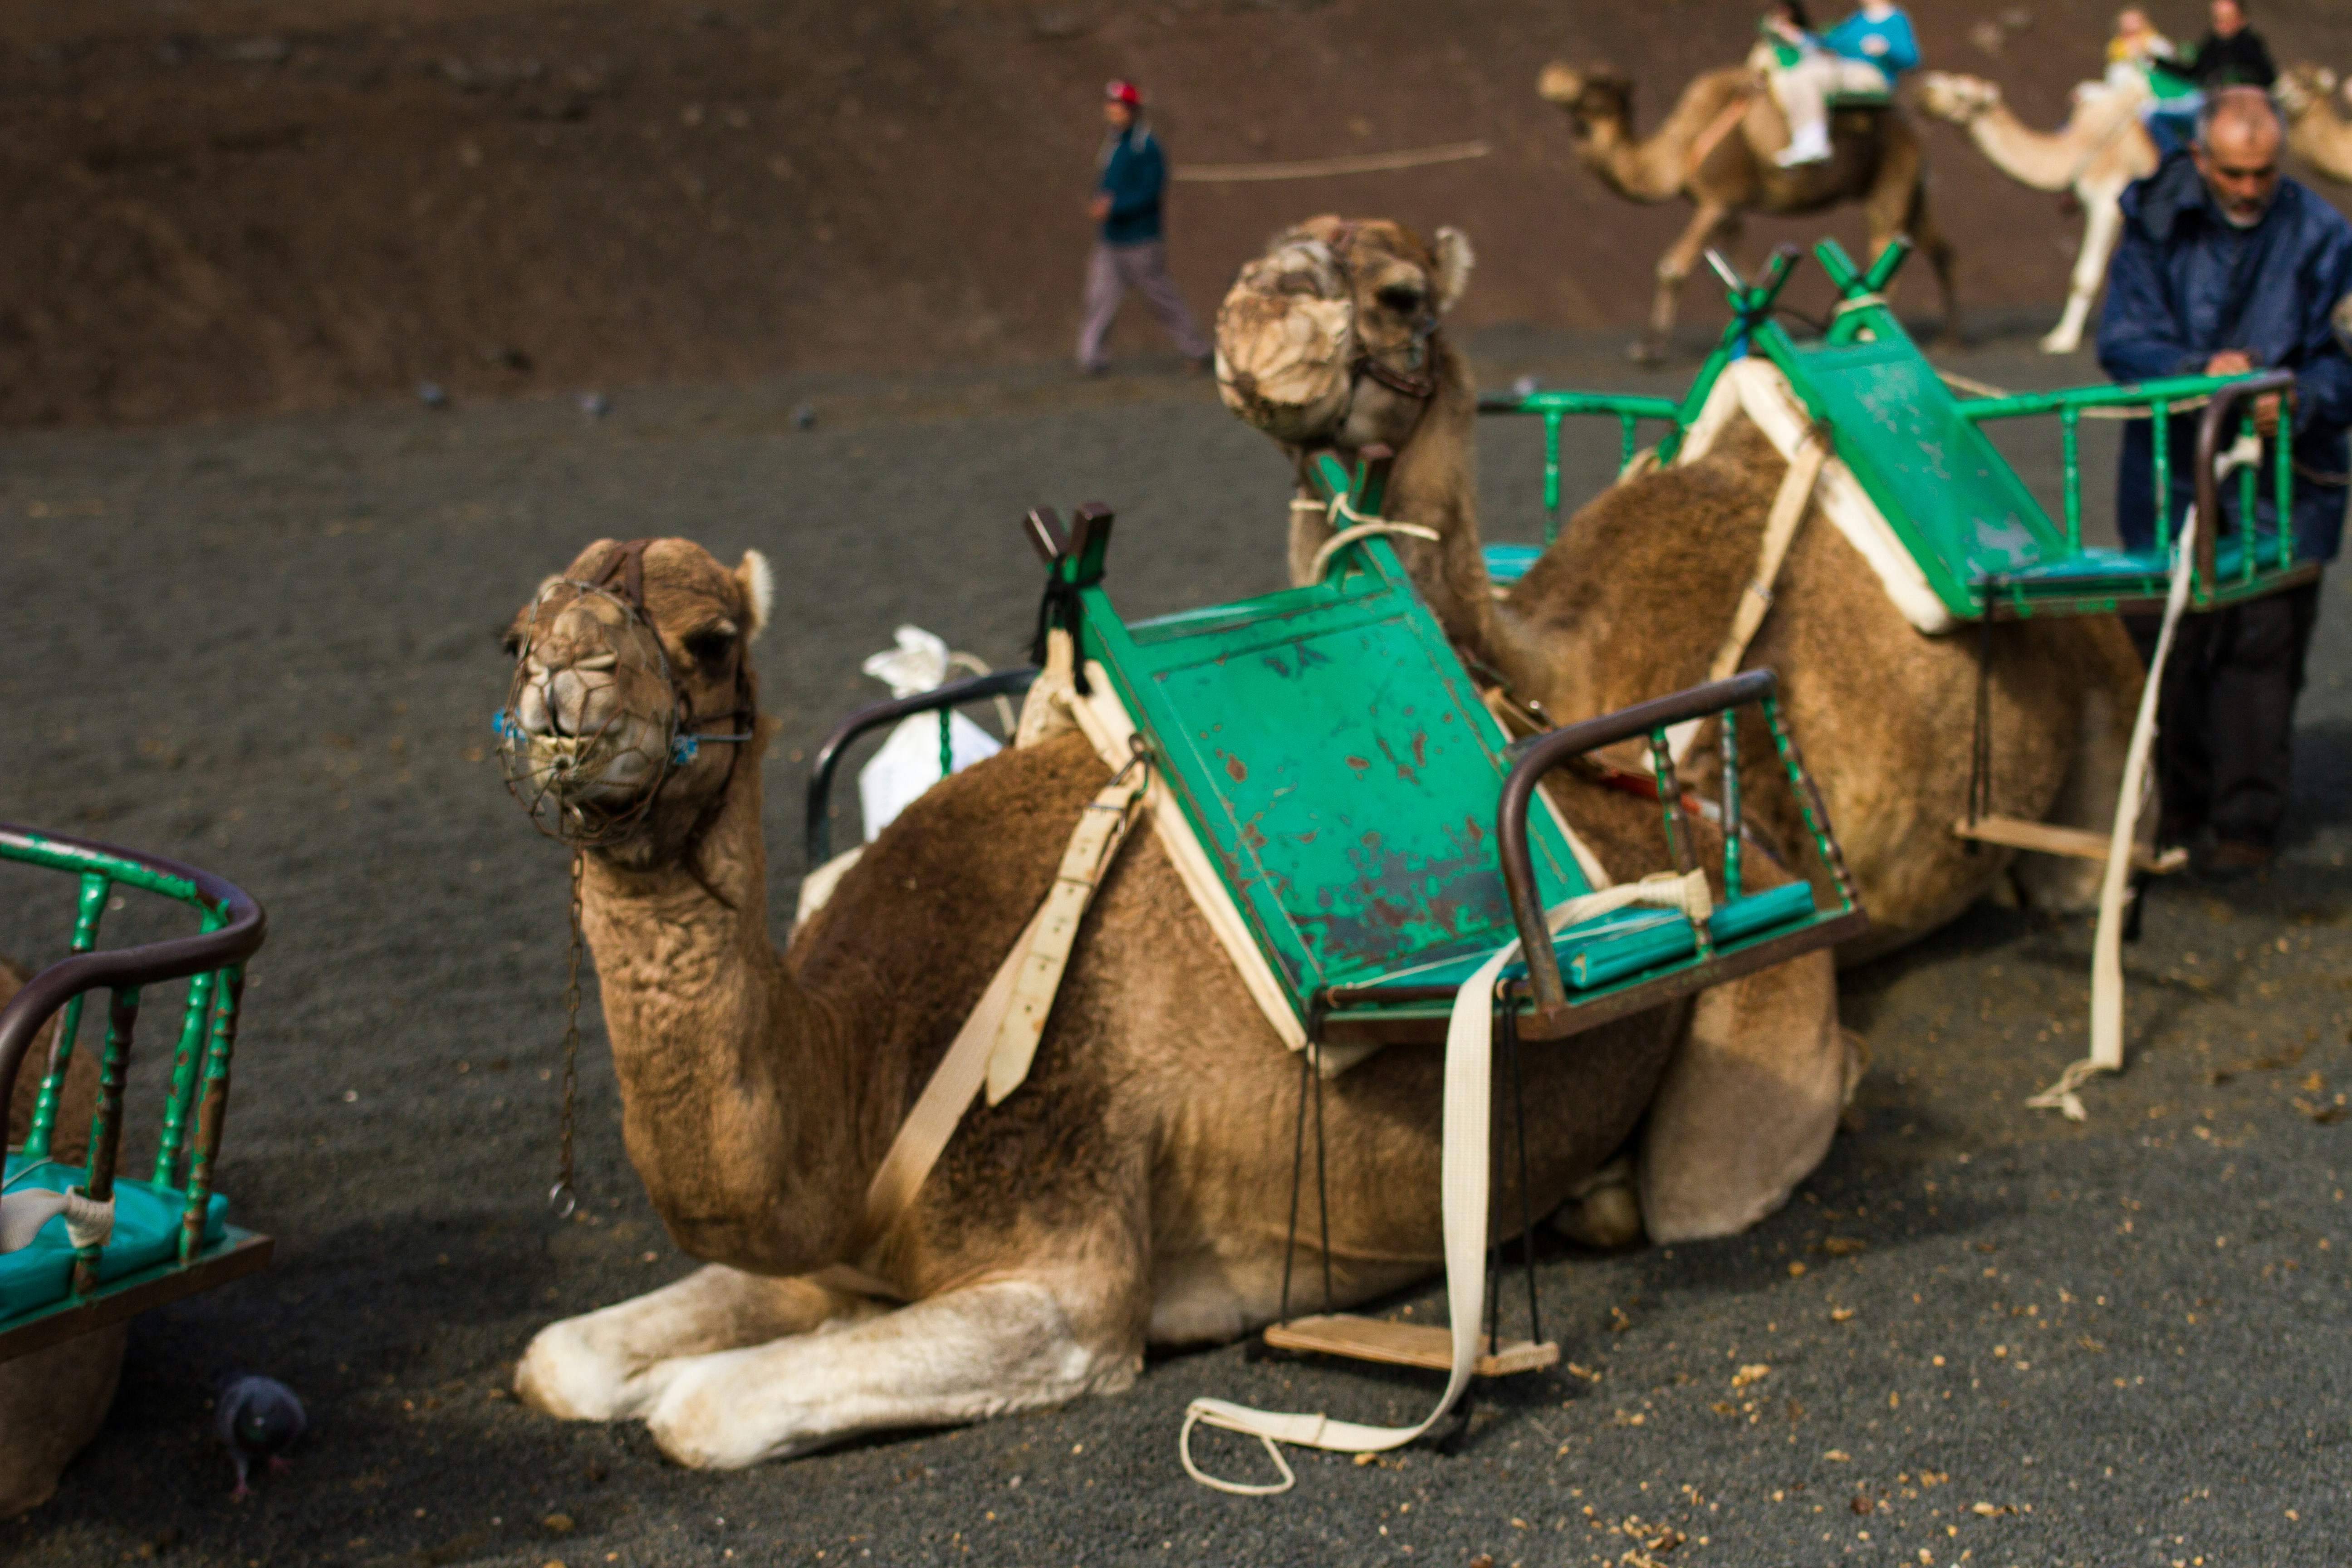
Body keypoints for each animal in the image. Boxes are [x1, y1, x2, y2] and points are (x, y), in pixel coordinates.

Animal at [495, 536, 1861, 1469]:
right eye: (514, 633)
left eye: (713, 636)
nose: (568, 689)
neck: (873, 1054)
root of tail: (1728, 828)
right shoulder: (842, 1236)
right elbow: (561, 1359)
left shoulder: (1070, 1286)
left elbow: (699, 1406)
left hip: (1756, 1047)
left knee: (1721, 1174)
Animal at [1536, 61, 1957, 362]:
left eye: (1600, 80)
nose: (1552, 75)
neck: (1676, 153)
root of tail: (1914, 130)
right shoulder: (1731, 210)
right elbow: (1747, 271)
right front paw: (1756, 333)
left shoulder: (1718, 199)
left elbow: (1673, 265)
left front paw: (1649, 348)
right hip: (1911, 189)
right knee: (1939, 250)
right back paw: (1946, 338)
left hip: (1891, 179)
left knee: (1887, 242)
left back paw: (1869, 328)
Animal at [1914, 72, 2158, 355]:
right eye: (1948, 77)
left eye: (1962, 93)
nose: (1925, 92)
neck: (2080, 146)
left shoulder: (2106, 203)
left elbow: (2084, 276)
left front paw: (2063, 340)